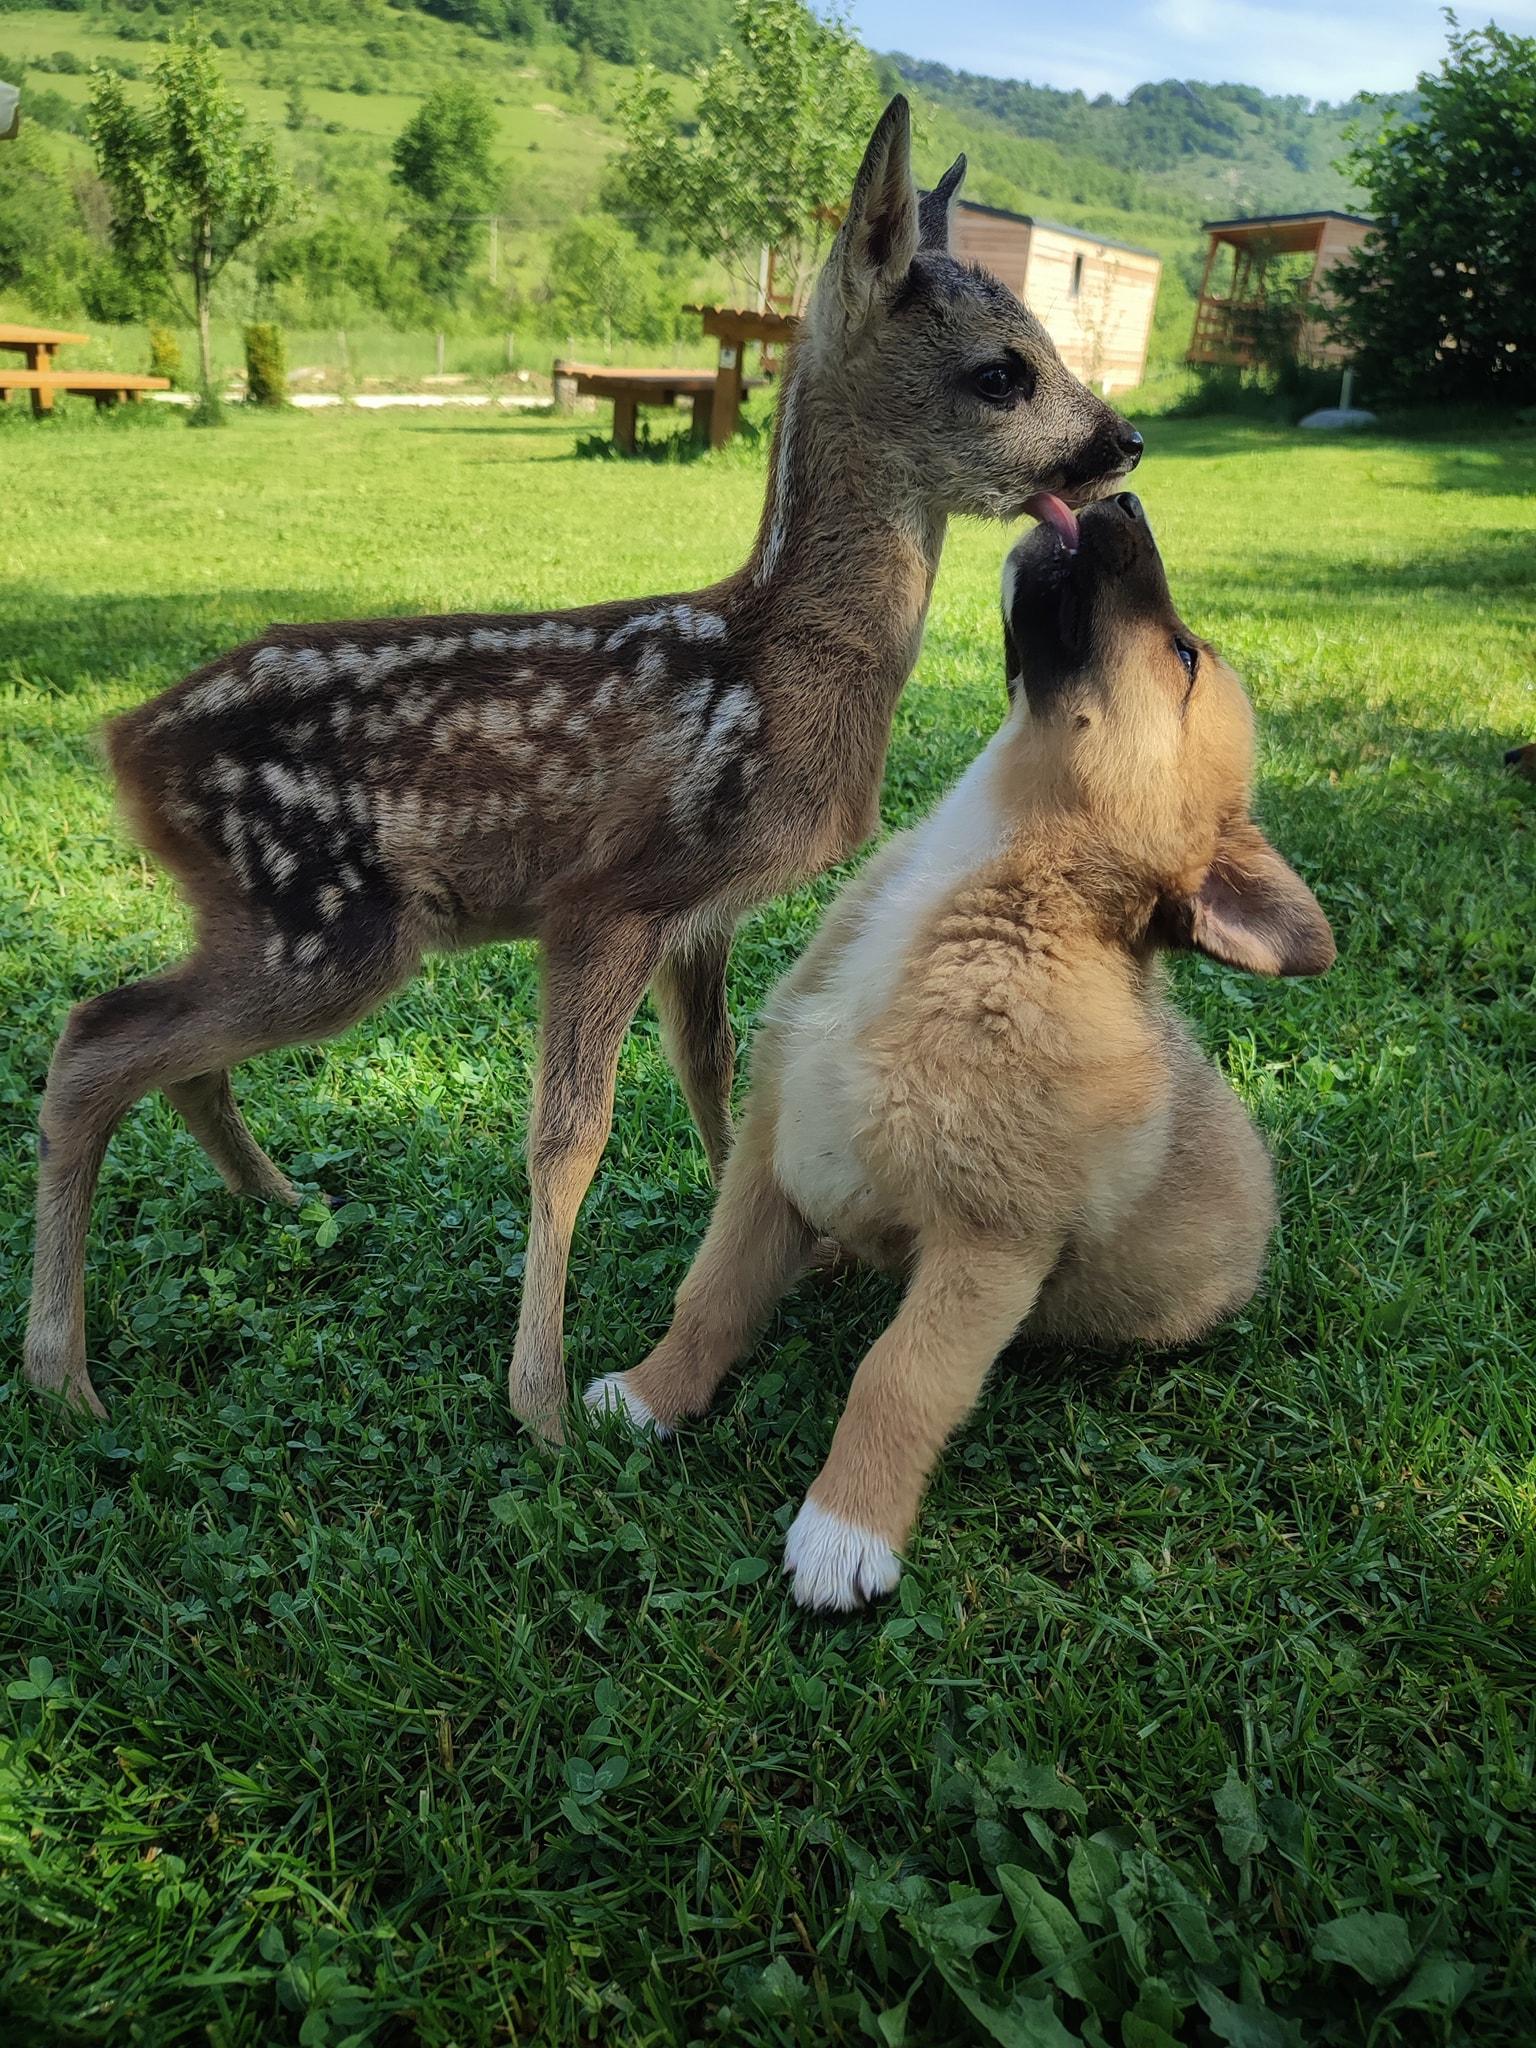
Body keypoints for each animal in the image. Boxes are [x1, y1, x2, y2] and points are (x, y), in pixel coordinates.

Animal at [589, 487, 1335, 1605]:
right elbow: (711, 1295)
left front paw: (847, 1527)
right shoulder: (769, 1158)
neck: (984, 881)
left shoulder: (987, 1246)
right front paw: (652, 1395)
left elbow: (898, 1378)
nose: (1125, 494)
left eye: (1183, 655)